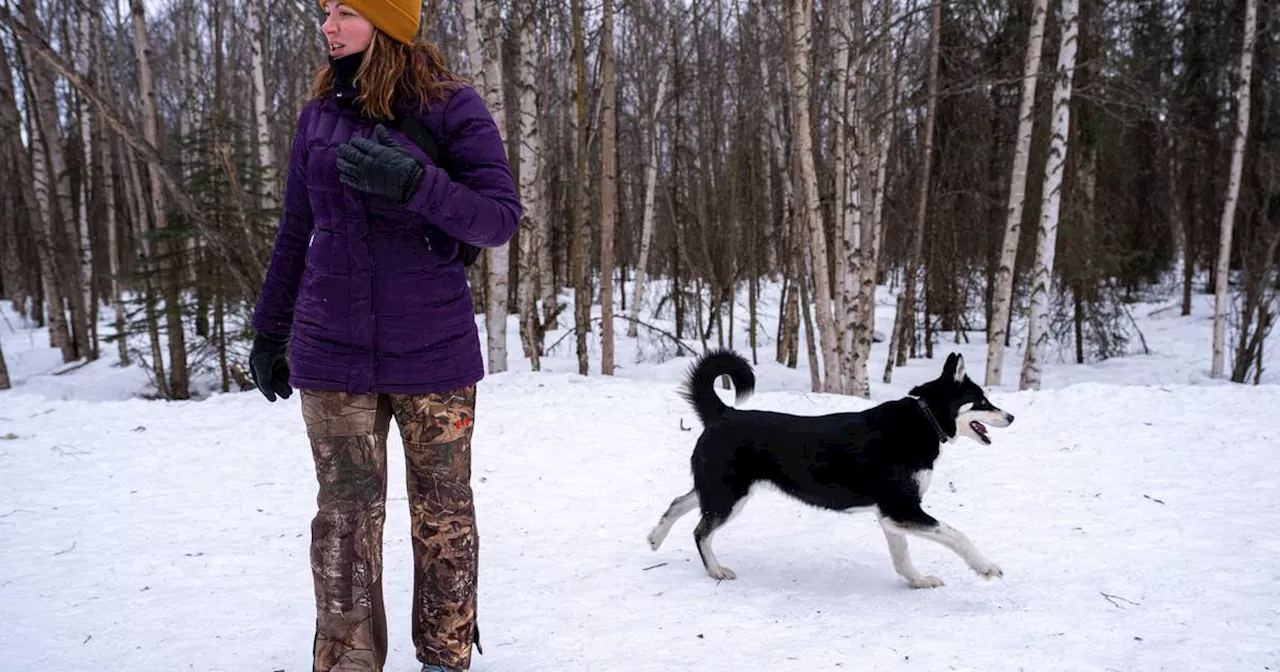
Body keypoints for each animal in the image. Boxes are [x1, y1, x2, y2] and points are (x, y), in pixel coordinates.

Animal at [650, 348, 1018, 583]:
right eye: (983, 402)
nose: (1011, 417)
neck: (924, 418)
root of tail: (723, 413)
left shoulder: (891, 516)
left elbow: (902, 556)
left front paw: (917, 580)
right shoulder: (903, 509)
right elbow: (959, 536)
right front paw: (986, 568)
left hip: (719, 490)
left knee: (678, 502)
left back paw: (655, 537)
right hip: (729, 496)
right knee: (700, 532)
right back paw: (715, 570)